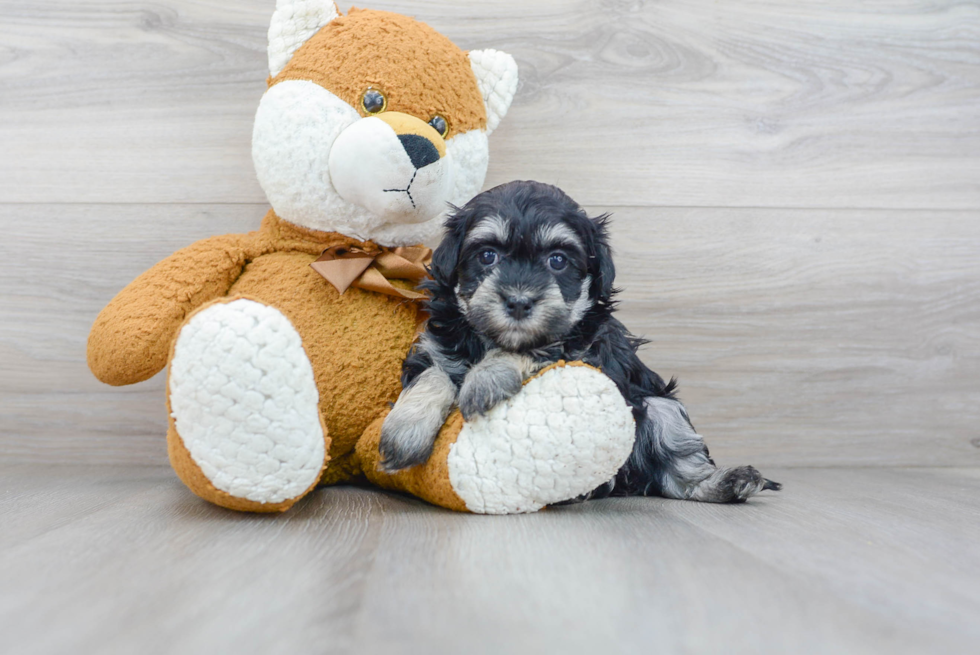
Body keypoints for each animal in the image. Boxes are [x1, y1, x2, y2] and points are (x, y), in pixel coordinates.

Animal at [378, 179, 780, 502]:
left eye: (558, 261)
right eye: (487, 255)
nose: (519, 301)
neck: (489, 339)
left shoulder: (585, 350)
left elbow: (538, 347)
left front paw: (487, 376)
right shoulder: (434, 347)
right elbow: (432, 375)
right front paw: (404, 431)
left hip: (659, 405)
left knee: (679, 464)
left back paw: (728, 482)